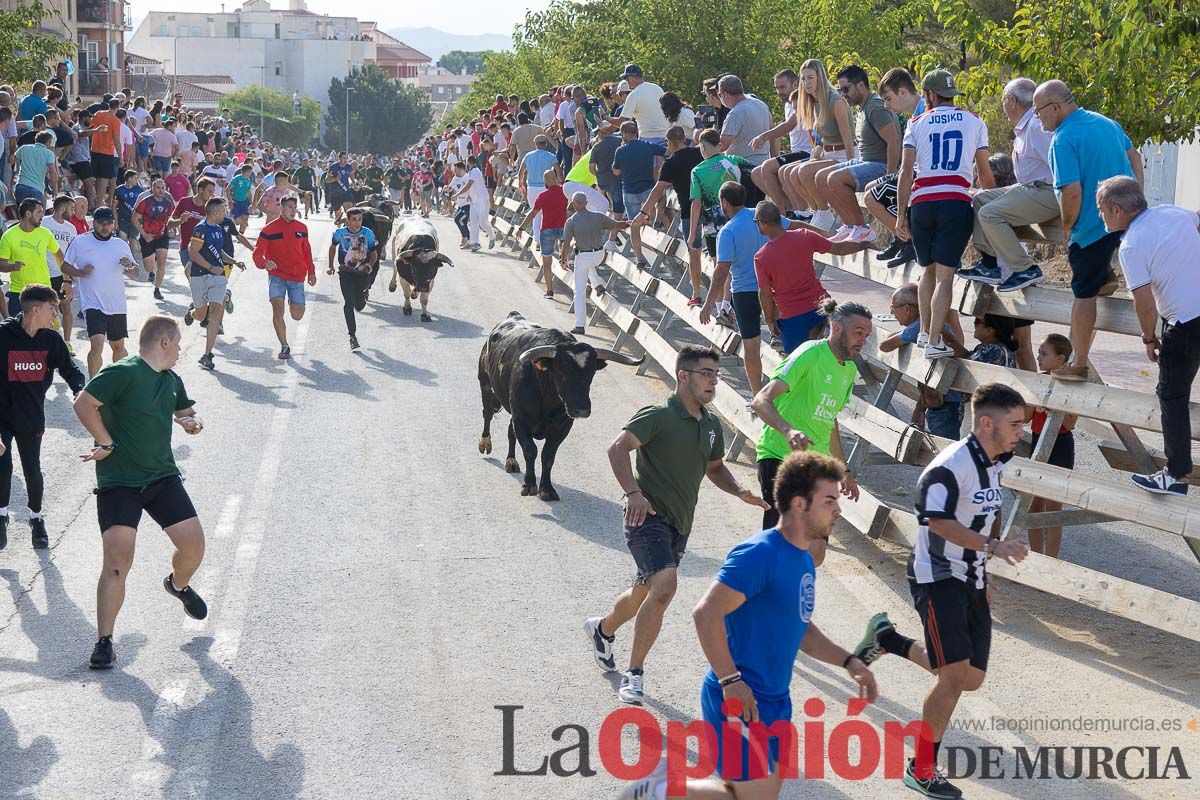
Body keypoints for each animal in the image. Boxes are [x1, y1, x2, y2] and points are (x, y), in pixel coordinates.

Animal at [480, 311, 648, 501]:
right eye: (562, 370)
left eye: (591, 372)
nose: (581, 409)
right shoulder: (522, 419)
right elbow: (530, 450)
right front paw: (529, 485)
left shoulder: (562, 426)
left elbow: (548, 455)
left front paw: (547, 489)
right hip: (486, 385)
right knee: (487, 413)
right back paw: (485, 443)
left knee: (510, 430)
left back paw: (511, 461)